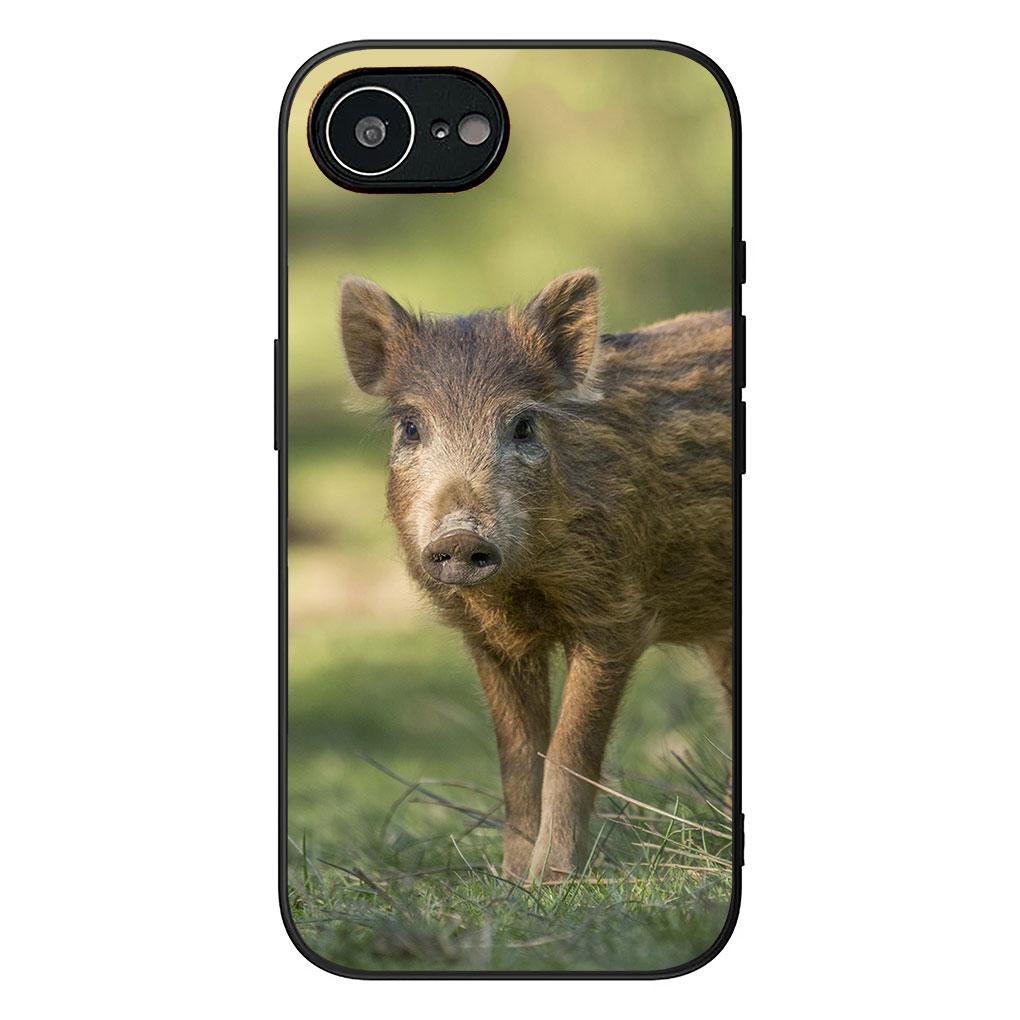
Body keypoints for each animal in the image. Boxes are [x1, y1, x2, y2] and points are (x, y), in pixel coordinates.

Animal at [339, 269, 732, 882]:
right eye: (409, 427)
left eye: (523, 425)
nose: (460, 538)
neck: (520, 591)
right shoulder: (489, 639)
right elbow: (519, 757)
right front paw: (510, 880)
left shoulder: (615, 616)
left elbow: (569, 753)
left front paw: (550, 881)